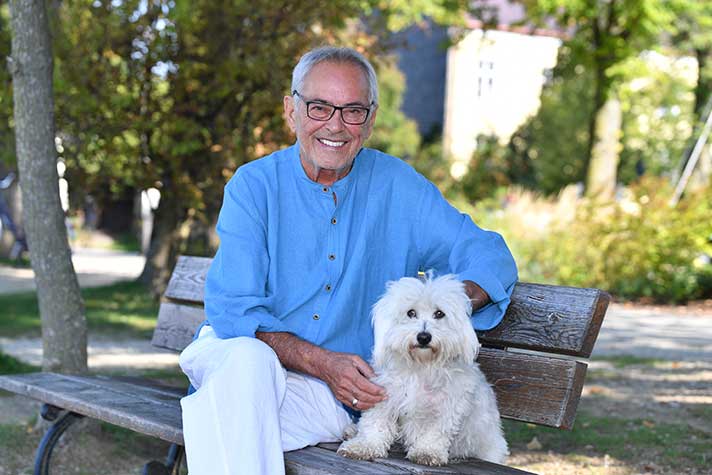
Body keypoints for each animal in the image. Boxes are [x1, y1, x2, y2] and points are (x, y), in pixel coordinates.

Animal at [338, 274, 508, 466]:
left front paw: (427, 452)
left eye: (439, 314)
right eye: (411, 313)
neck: (421, 366)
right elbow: (375, 423)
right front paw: (364, 445)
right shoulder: (384, 395)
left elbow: (435, 431)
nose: (424, 337)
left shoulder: (447, 406)